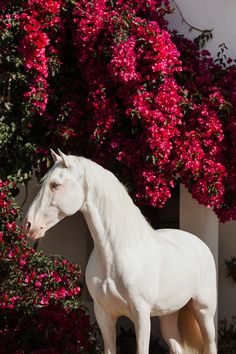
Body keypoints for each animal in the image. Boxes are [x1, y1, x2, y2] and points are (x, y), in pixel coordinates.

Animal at [24, 149, 218, 354]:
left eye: (55, 184)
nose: (29, 225)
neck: (117, 254)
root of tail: (199, 243)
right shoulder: (104, 315)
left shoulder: (141, 316)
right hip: (169, 314)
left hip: (204, 311)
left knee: (210, 343)